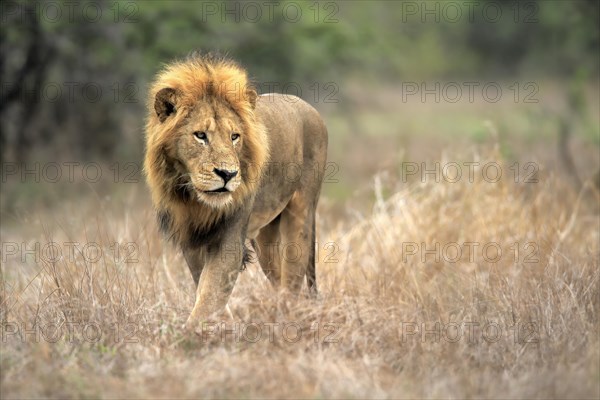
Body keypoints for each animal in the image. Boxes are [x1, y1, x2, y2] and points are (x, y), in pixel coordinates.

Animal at [144, 52, 328, 328]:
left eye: (234, 137)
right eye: (200, 135)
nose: (227, 174)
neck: (195, 200)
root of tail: (309, 107)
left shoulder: (229, 241)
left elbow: (209, 295)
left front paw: (189, 334)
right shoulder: (191, 240)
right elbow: (204, 289)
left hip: (301, 215)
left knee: (293, 281)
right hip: (266, 236)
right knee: (279, 280)